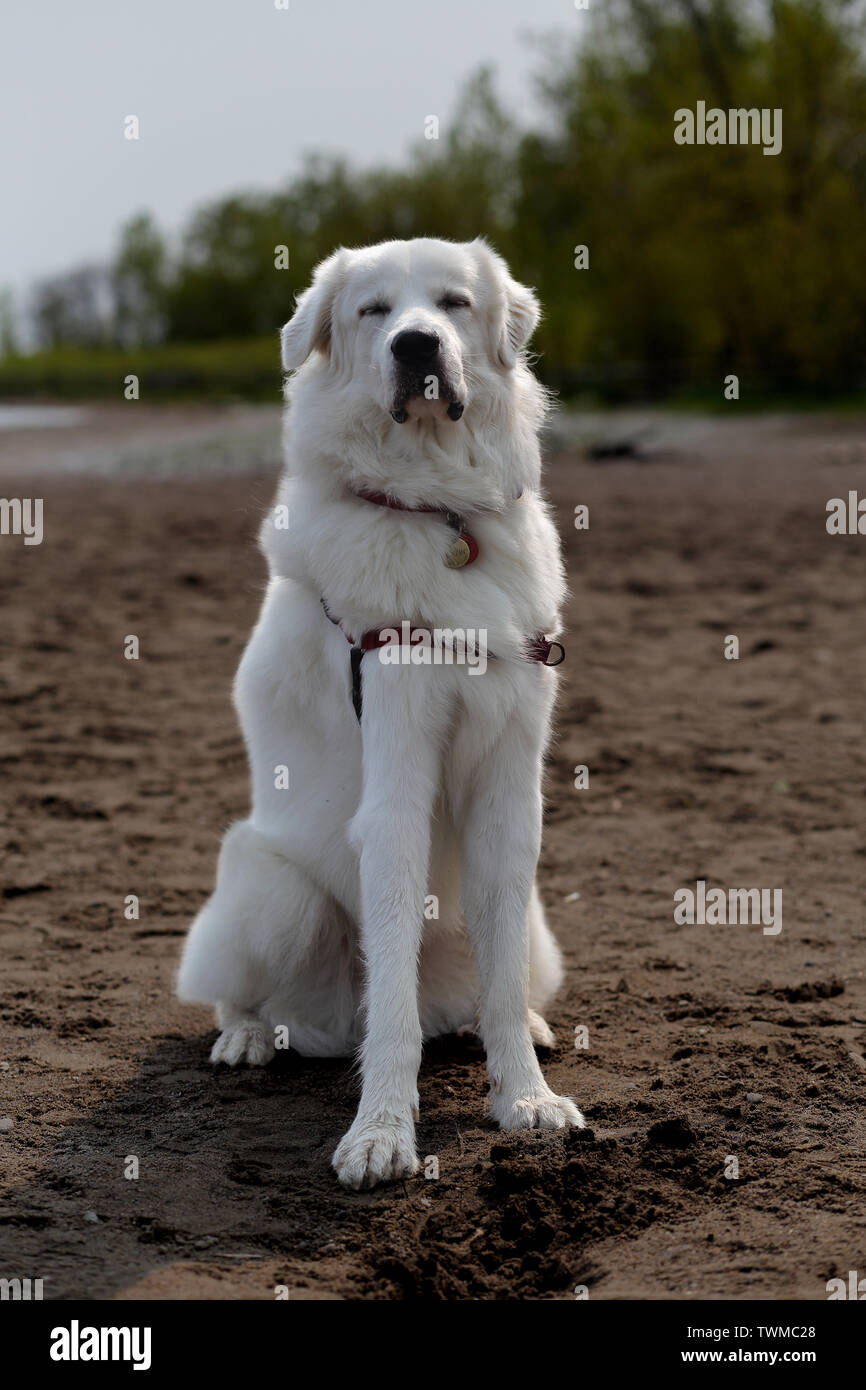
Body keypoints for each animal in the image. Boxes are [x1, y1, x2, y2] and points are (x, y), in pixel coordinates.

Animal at [176, 236, 583, 1184]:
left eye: (454, 303)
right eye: (373, 312)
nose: (416, 345)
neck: (440, 511)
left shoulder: (511, 790)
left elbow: (499, 980)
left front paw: (526, 1098)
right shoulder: (396, 784)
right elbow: (390, 1004)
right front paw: (382, 1134)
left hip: (538, 933)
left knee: (490, 985)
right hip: (270, 888)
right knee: (249, 994)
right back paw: (247, 1037)